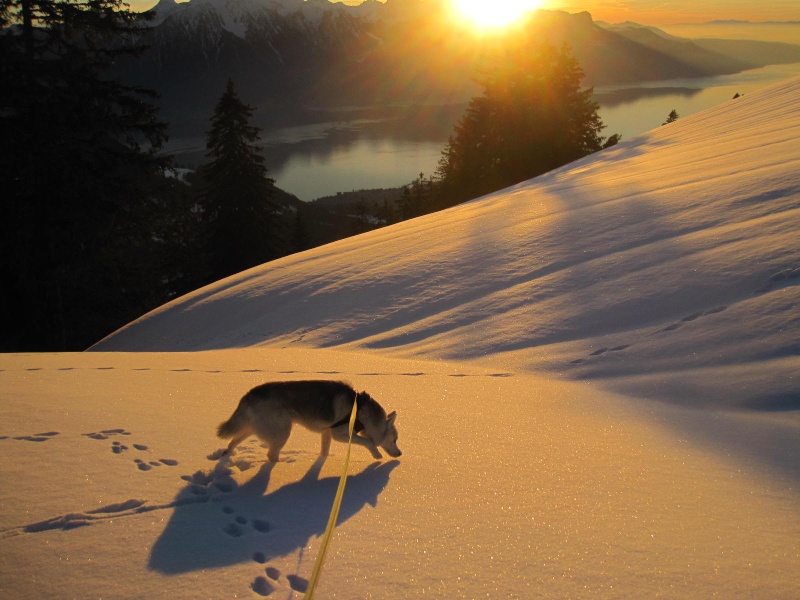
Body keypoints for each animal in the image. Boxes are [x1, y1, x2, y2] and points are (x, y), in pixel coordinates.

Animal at [216, 382, 400, 462]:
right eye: (395, 440)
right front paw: (376, 454)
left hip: (250, 429)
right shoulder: (340, 434)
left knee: (233, 441)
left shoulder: (327, 433)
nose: (400, 453)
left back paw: (227, 455)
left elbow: (324, 451)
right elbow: (368, 442)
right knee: (271, 454)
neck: (360, 409)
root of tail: (249, 394)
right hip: (283, 432)